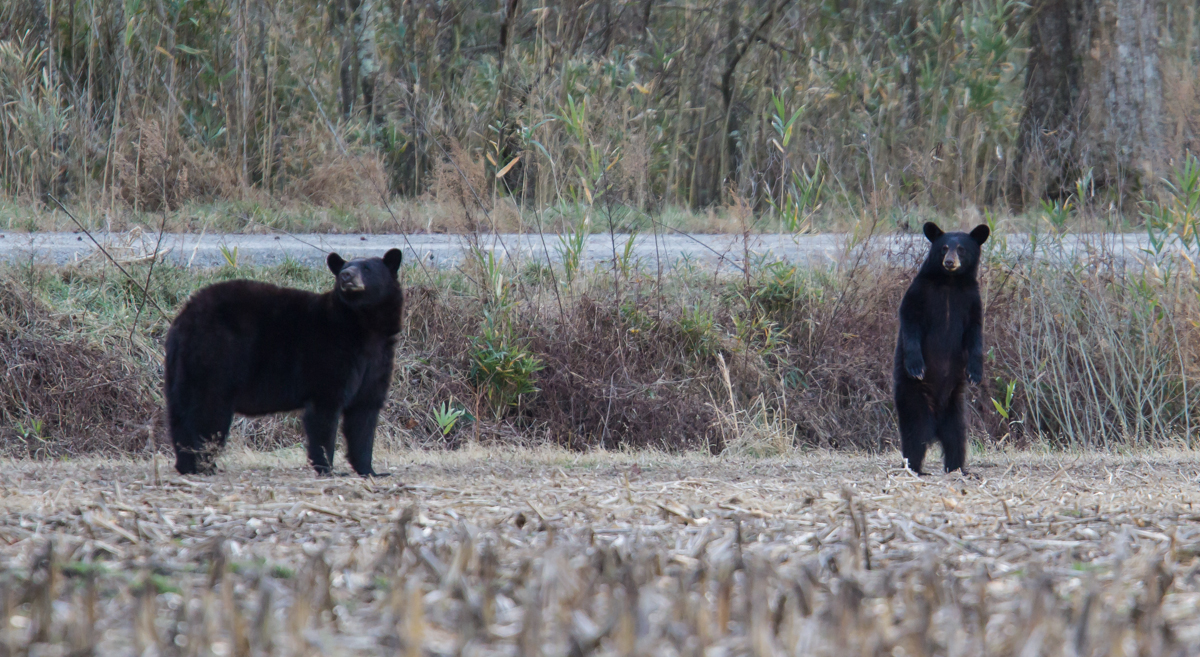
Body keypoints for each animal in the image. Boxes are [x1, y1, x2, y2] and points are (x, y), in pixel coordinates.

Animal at [164, 249, 404, 477]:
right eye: (344, 268)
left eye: (367, 268)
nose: (346, 275)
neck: (363, 327)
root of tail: (184, 317)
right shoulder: (331, 355)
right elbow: (325, 411)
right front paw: (328, 468)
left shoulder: (377, 361)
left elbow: (364, 414)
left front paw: (371, 470)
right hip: (216, 357)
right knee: (209, 411)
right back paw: (203, 464)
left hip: (183, 368)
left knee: (180, 413)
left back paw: (188, 464)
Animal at [893, 222, 989, 475]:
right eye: (944, 247)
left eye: (962, 249)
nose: (950, 262)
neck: (950, 283)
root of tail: (935, 421)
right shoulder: (919, 292)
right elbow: (910, 320)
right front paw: (916, 366)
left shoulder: (972, 300)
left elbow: (976, 333)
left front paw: (975, 373)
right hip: (913, 399)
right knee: (914, 437)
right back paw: (915, 469)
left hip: (956, 407)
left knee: (957, 438)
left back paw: (958, 469)